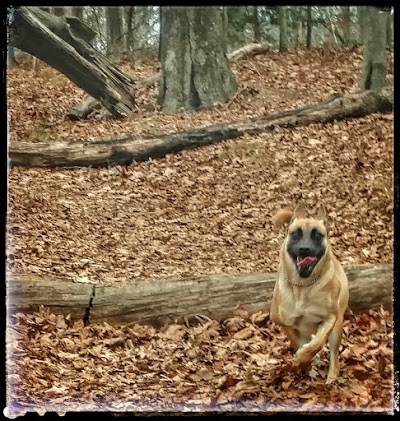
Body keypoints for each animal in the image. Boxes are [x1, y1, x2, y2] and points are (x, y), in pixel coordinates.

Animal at [268, 202, 350, 382]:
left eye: (317, 235)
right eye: (296, 234)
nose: (304, 249)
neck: (302, 286)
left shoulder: (330, 318)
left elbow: (317, 343)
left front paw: (305, 355)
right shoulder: (284, 323)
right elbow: (297, 342)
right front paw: (305, 359)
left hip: (337, 326)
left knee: (334, 355)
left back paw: (331, 377)